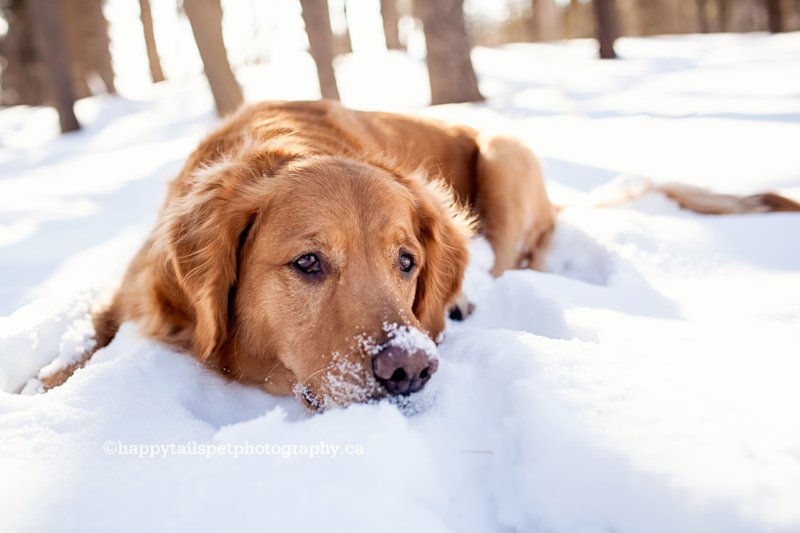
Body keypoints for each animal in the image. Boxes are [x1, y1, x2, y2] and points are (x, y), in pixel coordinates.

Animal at [39, 98, 800, 408]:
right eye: (308, 263)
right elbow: (72, 350)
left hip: (503, 154)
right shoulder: (132, 290)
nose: (409, 367)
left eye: (406, 262)